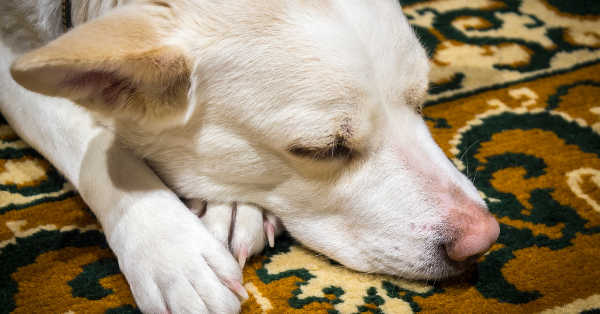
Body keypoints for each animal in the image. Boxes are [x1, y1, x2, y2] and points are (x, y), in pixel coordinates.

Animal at [1, 0, 600, 314]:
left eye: (421, 99)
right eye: (320, 149)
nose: (484, 238)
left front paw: (231, 208)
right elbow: (90, 140)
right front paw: (169, 251)